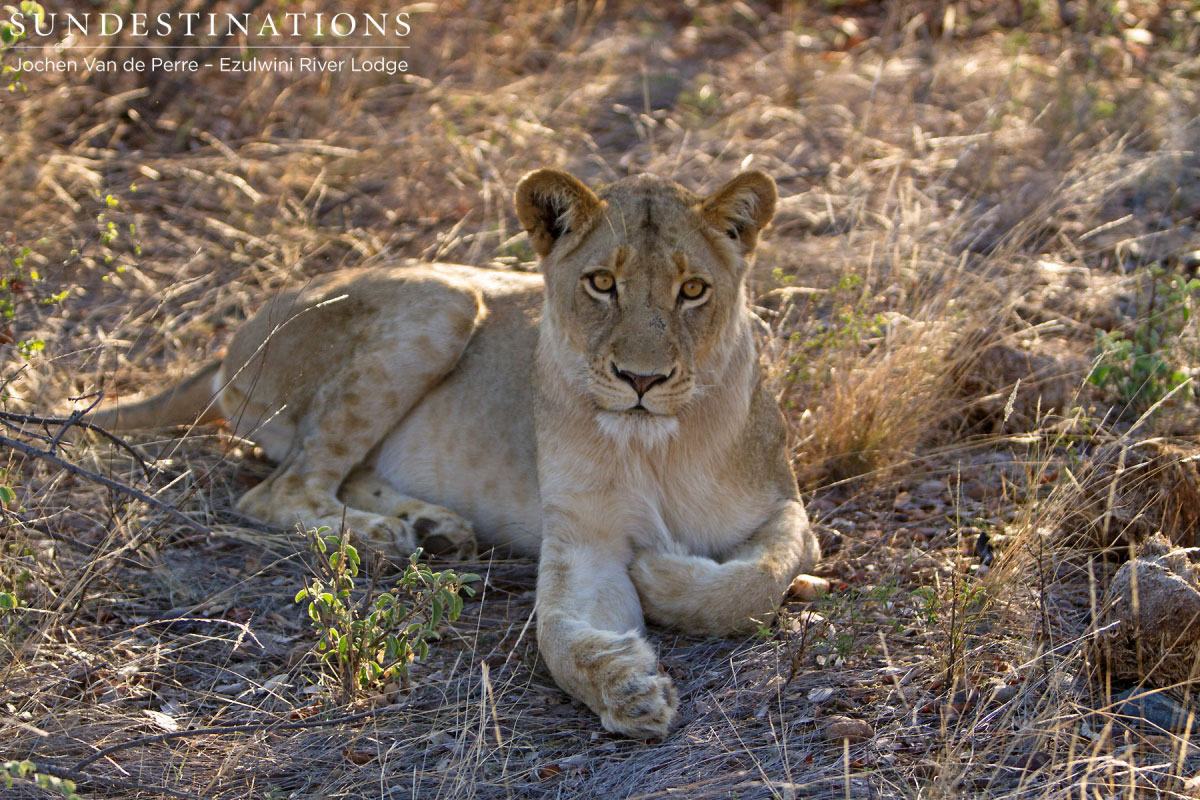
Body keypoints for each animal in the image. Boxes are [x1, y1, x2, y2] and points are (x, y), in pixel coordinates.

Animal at [90, 168, 820, 738]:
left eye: (693, 290)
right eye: (601, 283)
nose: (641, 380)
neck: (655, 446)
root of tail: (231, 338)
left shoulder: (787, 502)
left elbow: (759, 579)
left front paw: (659, 579)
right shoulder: (583, 538)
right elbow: (559, 634)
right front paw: (627, 685)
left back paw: (433, 528)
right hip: (443, 302)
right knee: (277, 491)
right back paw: (386, 537)